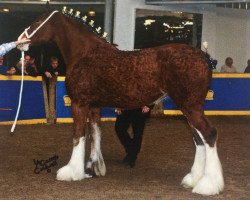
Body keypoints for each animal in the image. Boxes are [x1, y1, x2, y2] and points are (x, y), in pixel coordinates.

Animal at [18, 10, 224, 195]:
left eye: (38, 22)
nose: (20, 41)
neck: (85, 53)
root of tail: (204, 57)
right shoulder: (94, 106)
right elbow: (95, 133)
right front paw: (94, 168)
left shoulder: (79, 104)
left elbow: (79, 135)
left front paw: (71, 172)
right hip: (189, 108)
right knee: (199, 139)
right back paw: (193, 179)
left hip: (190, 107)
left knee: (209, 134)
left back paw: (208, 185)